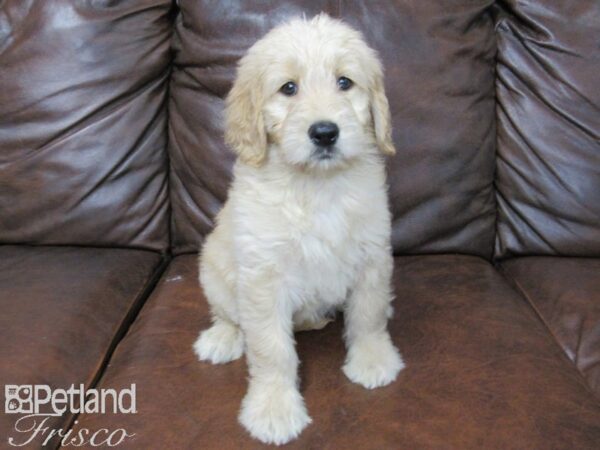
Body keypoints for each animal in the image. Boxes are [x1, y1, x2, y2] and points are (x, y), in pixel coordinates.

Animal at [195, 14, 406, 446]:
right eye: (288, 88)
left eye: (344, 82)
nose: (324, 132)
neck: (316, 186)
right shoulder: (264, 276)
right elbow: (270, 349)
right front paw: (273, 408)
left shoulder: (372, 254)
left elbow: (369, 314)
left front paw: (373, 359)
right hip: (213, 272)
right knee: (228, 316)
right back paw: (221, 339)